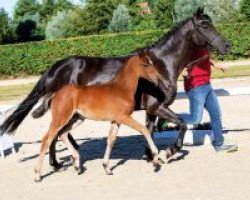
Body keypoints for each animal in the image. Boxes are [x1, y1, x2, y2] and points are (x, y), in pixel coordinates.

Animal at [0, 7, 230, 167]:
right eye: (205, 26)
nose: (227, 45)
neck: (161, 65)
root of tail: (56, 68)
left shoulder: (150, 110)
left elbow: (149, 130)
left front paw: (150, 156)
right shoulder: (157, 107)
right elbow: (181, 124)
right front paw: (168, 153)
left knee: (57, 133)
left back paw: (64, 159)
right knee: (55, 133)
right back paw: (58, 163)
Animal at [33, 52, 160, 181]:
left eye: (152, 63)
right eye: (145, 65)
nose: (158, 78)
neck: (122, 89)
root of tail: (56, 93)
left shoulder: (116, 120)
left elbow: (111, 139)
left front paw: (107, 168)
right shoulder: (124, 117)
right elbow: (144, 130)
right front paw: (155, 159)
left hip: (77, 119)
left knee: (62, 134)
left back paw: (76, 164)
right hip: (61, 118)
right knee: (47, 139)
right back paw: (38, 174)